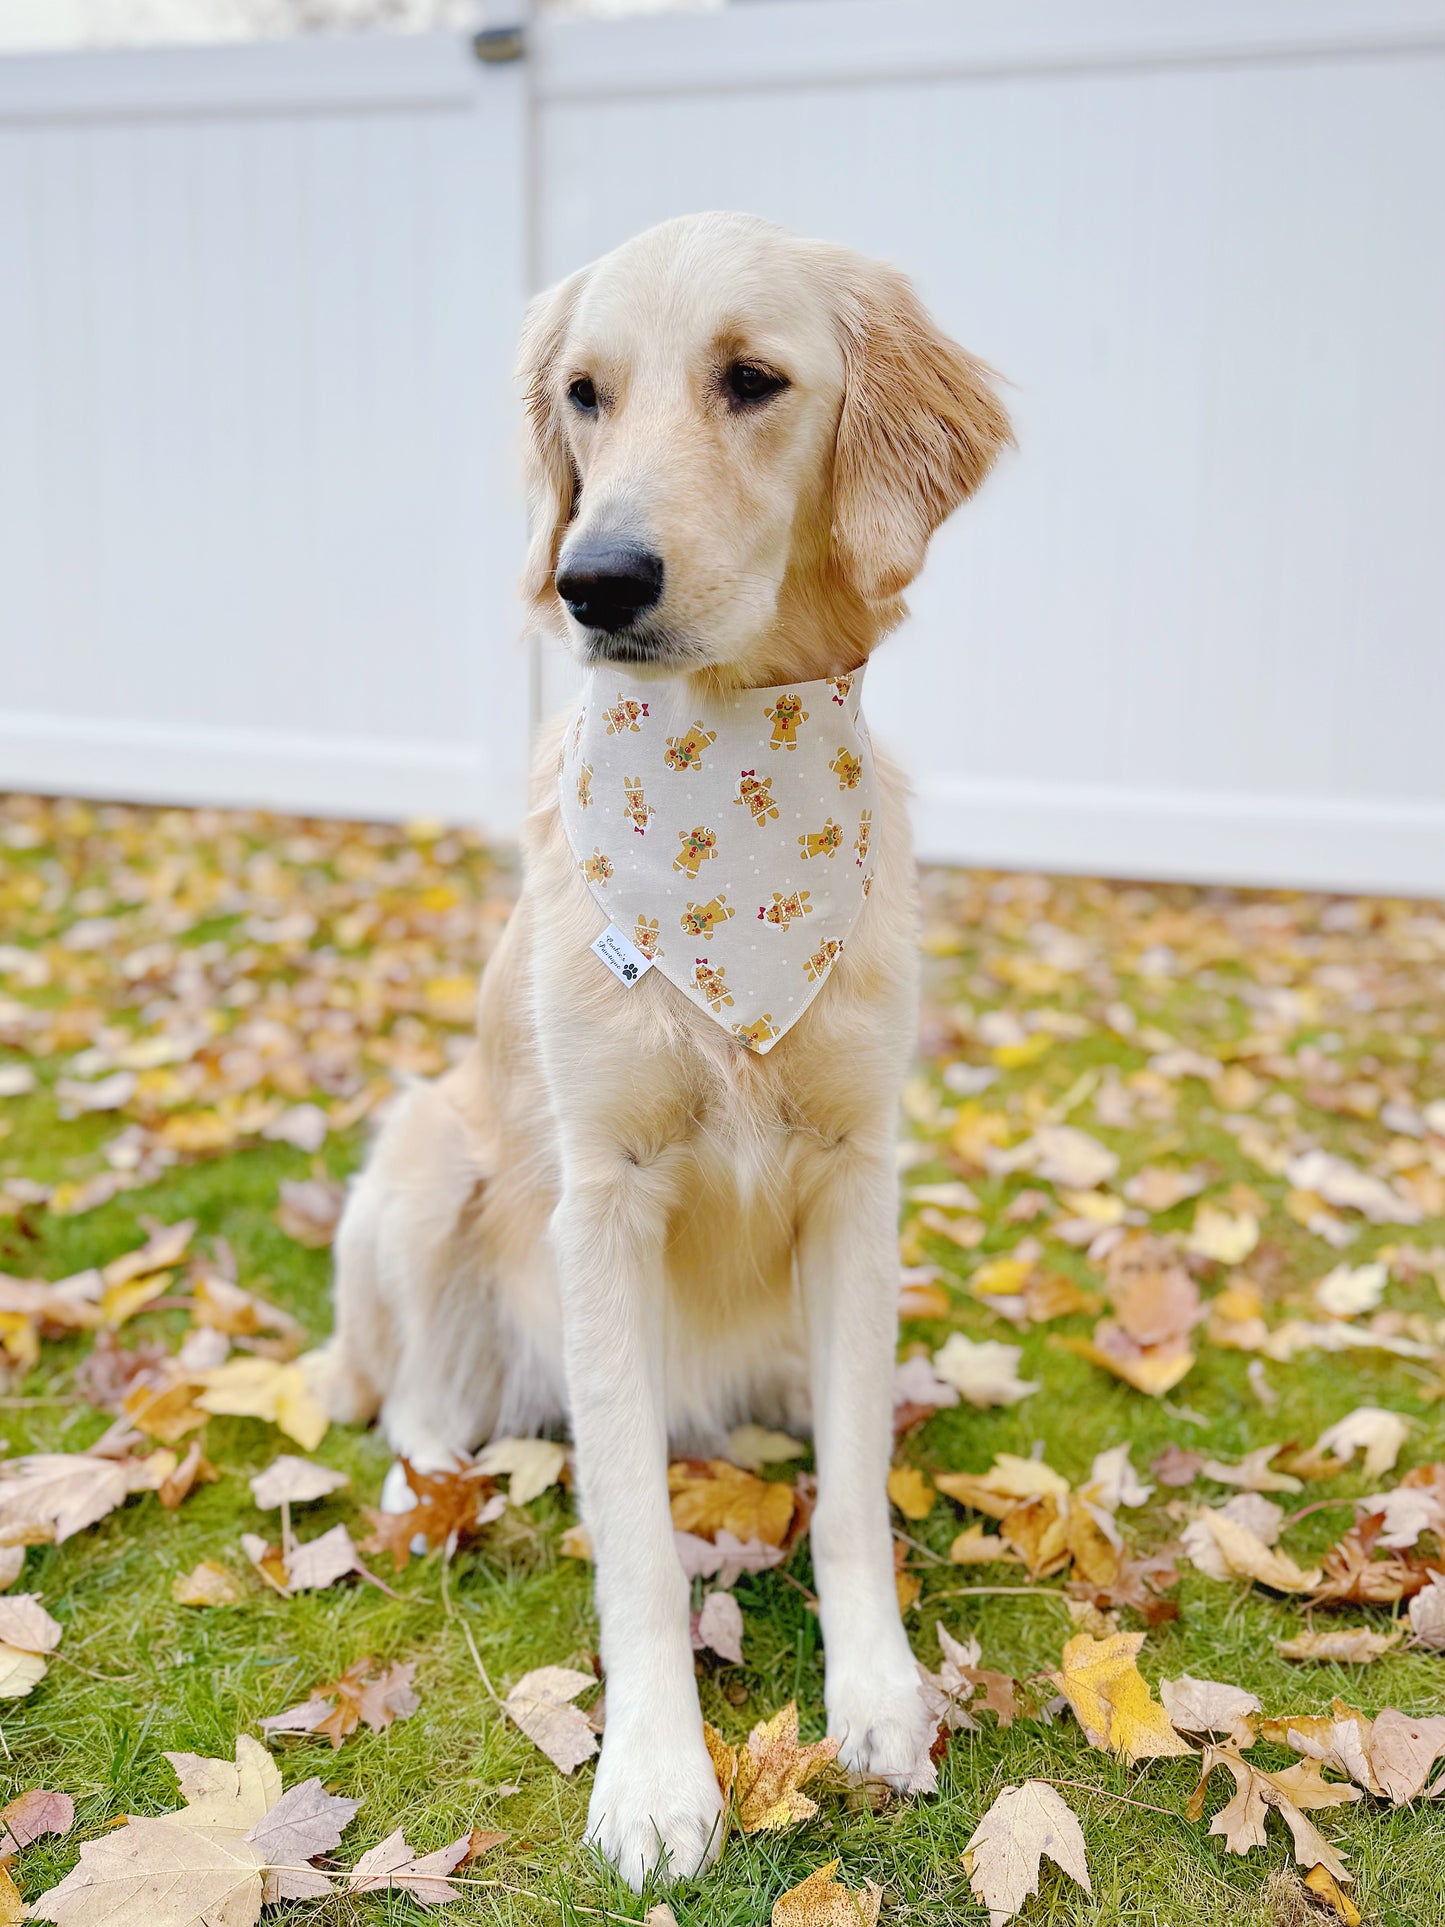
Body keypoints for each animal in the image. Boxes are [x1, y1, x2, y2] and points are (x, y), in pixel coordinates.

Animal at [321, 207, 1009, 1880]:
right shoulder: (602, 1194)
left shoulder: (857, 1175)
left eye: (751, 379)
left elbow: (853, 1495)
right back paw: (437, 1489)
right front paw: (650, 1774)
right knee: (417, 1404)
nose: (594, 579)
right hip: (429, 1153)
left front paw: (877, 1694)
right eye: (584, 393)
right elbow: (630, 1523)